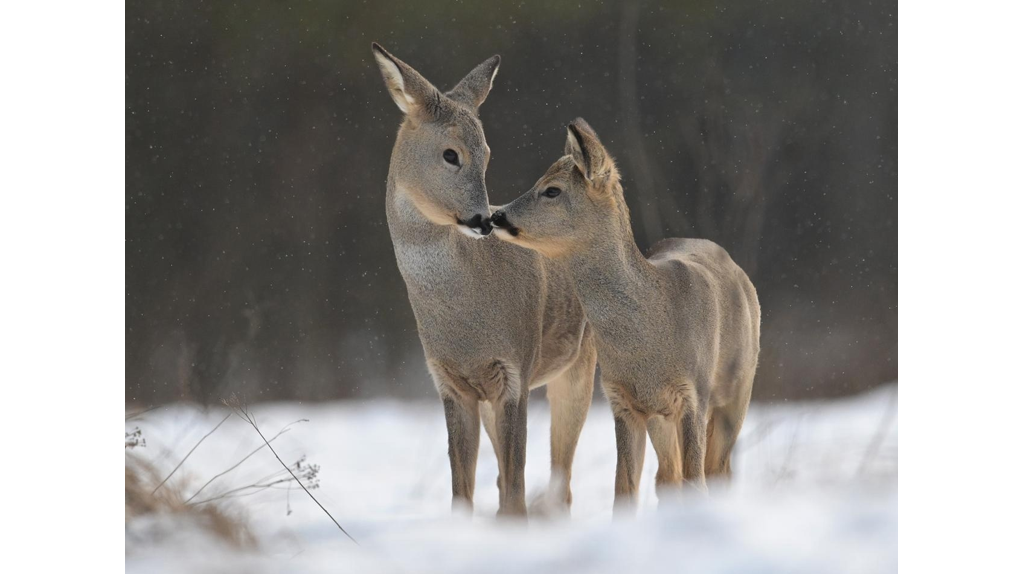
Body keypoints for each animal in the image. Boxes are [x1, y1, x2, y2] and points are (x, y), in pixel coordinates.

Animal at [370, 45, 598, 515]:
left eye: (488, 154)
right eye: (450, 154)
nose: (483, 220)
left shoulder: (515, 371)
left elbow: (515, 488)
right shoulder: (451, 382)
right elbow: (464, 489)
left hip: (579, 366)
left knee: (561, 481)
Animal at [487, 117, 761, 515]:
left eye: (551, 190)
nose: (497, 215)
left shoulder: (693, 394)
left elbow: (696, 482)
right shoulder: (623, 400)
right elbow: (624, 490)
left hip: (737, 392)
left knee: (717, 471)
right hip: (663, 418)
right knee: (668, 477)